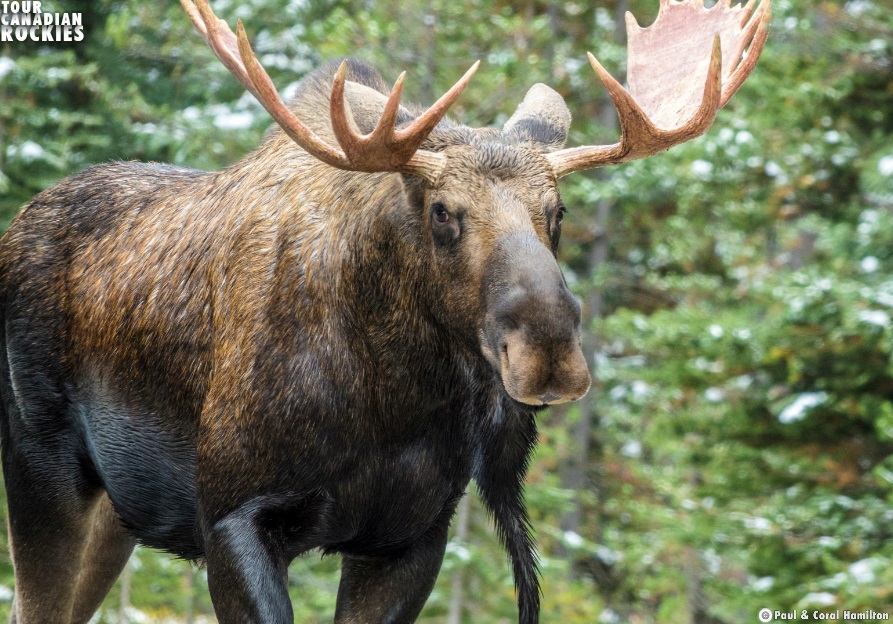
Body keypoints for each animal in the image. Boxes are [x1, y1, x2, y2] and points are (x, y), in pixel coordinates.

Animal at [0, 0, 768, 620]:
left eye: (558, 211)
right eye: (441, 212)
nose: (548, 351)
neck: (392, 400)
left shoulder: (411, 536)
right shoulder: (232, 517)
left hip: (117, 512)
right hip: (40, 466)